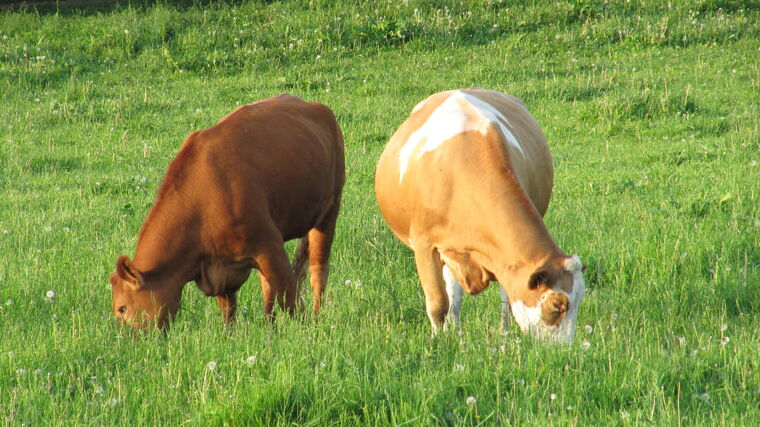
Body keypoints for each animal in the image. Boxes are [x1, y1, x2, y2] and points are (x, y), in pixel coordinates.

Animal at [376, 89, 588, 344]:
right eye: (557, 305)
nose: (565, 349)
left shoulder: (505, 258)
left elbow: (506, 299)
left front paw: (504, 334)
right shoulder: (424, 245)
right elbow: (437, 302)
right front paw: (438, 341)